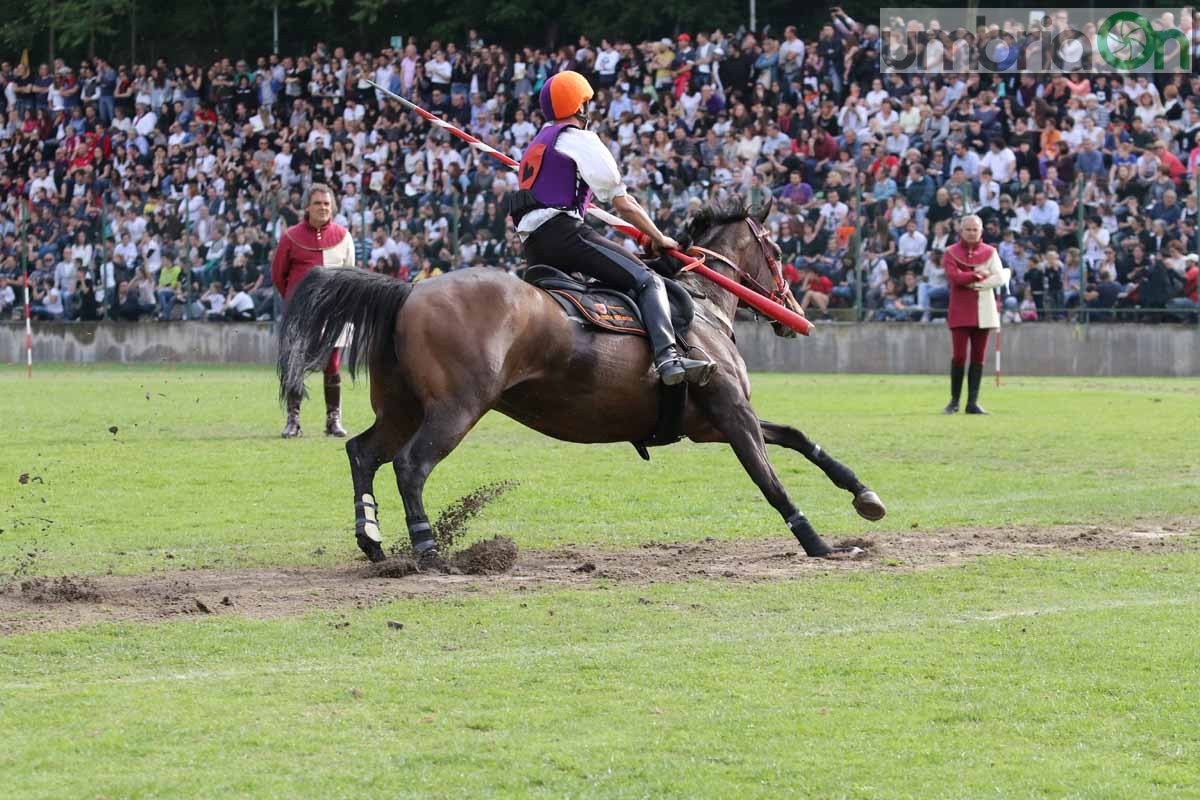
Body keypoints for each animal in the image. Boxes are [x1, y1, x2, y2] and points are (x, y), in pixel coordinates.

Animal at [278, 196, 883, 566]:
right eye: (776, 251)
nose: (792, 312)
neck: (704, 306)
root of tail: (409, 289)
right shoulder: (733, 416)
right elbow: (770, 480)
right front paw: (817, 542)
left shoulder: (712, 422)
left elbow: (799, 438)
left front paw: (863, 494)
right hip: (455, 410)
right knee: (410, 464)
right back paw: (426, 548)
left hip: (403, 407)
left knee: (363, 453)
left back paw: (373, 539)